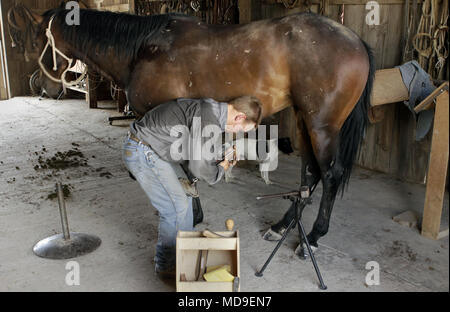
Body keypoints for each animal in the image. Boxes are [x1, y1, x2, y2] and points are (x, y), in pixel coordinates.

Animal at [13, 7, 376, 258]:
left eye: (38, 39)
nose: (41, 86)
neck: (143, 49)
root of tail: (355, 39)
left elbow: (184, 169)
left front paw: (191, 212)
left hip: (321, 125)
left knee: (329, 175)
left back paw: (312, 238)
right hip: (304, 120)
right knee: (310, 172)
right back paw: (281, 227)